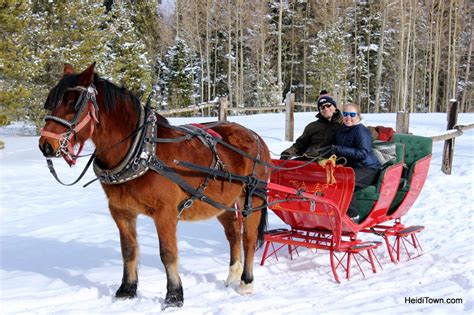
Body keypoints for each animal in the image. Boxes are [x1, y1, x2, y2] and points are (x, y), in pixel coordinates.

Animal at [38, 62, 270, 308]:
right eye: (50, 102)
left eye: (73, 103)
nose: (46, 145)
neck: (141, 151)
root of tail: (254, 135)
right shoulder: (121, 212)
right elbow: (129, 250)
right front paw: (127, 289)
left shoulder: (165, 212)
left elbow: (167, 253)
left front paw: (174, 296)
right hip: (220, 202)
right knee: (233, 234)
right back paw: (232, 275)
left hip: (252, 197)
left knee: (248, 238)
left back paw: (246, 282)